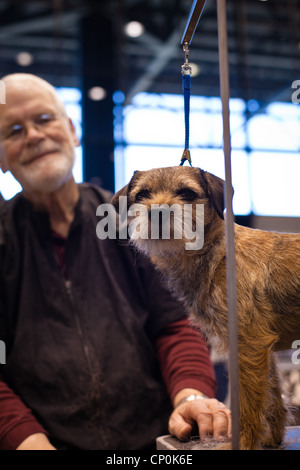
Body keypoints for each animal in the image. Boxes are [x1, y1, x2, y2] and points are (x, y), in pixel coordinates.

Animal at [111, 165, 300, 448]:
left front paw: (242, 442)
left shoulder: (250, 345)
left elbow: (248, 403)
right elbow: (273, 393)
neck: (217, 254)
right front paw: (271, 438)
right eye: (142, 194)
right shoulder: (262, 349)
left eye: (187, 193)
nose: (157, 211)